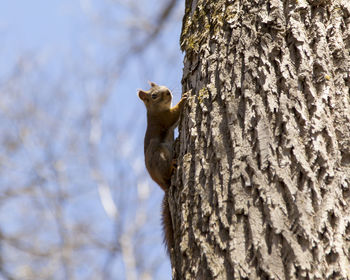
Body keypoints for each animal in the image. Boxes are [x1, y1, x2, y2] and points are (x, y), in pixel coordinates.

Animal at [137, 81, 189, 254]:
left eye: (163, 85)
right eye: (154, 95)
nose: (168, 92)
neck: (155, 110)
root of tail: (163, 186)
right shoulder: (165, 119)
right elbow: (175, 113)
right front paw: (184, 98)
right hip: (159, 155)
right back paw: (171, 165)